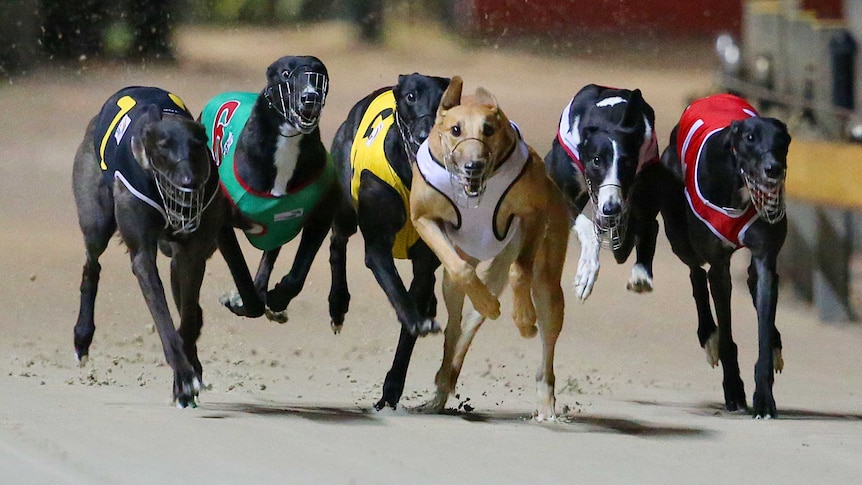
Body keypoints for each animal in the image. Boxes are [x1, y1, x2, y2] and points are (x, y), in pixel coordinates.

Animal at [72, 86, 224, 404]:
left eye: (197, 145)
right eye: (163, 146)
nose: (189, 183)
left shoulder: (191, 256)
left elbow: (187, 316)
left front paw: (188, 370)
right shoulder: (142, 256)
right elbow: (164, 319)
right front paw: (184, 379)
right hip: (96, 223)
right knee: (92, 266)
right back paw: (82, 336)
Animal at [198, 55, 340, 322]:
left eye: (320, 73)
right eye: (285, 73)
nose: (311, 97)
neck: (287, 142)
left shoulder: (320, 216)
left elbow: (298, 273)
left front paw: (277, 296)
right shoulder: (222, 225)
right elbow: (241, 271)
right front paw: (244, 303)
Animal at [330, 73, 452, 408]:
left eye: (445, 100)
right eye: (411, 96)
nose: (425, 136)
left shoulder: (425, 259)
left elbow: (409, 323)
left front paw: (393, 386)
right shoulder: (377, 247)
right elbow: (398, 293)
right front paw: (416, 319)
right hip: (345, 209)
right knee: (337, 242)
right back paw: (337, 303)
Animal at [552, 85, 664, 300]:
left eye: (628, 163)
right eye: (596, 160)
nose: (611, 208)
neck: (609, 117)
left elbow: (641, 228)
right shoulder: (559, 190)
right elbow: (588, 227)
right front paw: (587, 269)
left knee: (649, 226)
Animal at [660, 92, 796, 418]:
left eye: (783, 141)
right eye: (750, 138)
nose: (774, 169)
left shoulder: (764, 256)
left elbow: (762, 327)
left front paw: (764, 397)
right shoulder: (719, 267)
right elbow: (727, 334)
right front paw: (734, 389)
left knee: (750, 281)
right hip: (678, 235)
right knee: (696, 273)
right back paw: (708, 334)